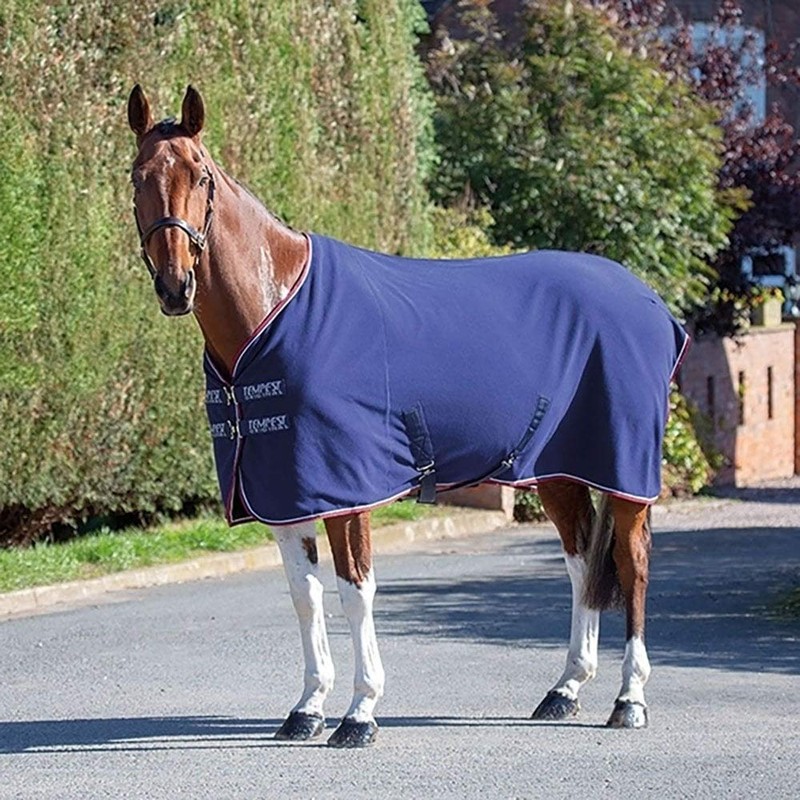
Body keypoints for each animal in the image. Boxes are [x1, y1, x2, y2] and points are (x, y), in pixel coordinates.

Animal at [127, 85, 688, 748]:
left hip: (624, 475)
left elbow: (354, 593)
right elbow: (304, 595)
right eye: (138, 177)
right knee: (580, 565)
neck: (274, 308)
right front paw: (306, 708)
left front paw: (359, 713)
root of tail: (648, 299)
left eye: (201, 175)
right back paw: (565, 690)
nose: (175, 285)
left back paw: (630, 700)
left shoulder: (346, 492)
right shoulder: (284, 490)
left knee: (632, 565)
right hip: (556, 473)